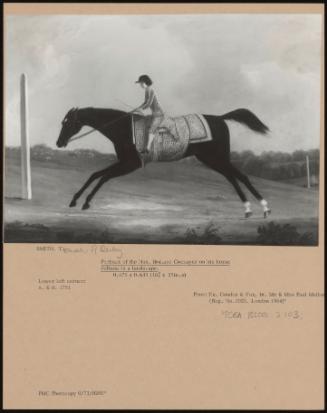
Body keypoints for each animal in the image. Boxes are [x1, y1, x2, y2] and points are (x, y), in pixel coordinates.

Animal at [56, 106, 272, 216]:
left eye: (68, 122)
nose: (59, 143)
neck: (124, 128)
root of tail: (219, 118)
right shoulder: (125, 163)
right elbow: (96, 174)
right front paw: (75, 200)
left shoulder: (130, 165)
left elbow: (104, 177)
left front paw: (85, 202)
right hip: (212, 159)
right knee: (233, 177)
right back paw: (250, 209)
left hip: (215, 158)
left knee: (241, 176)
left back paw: (264, 208)